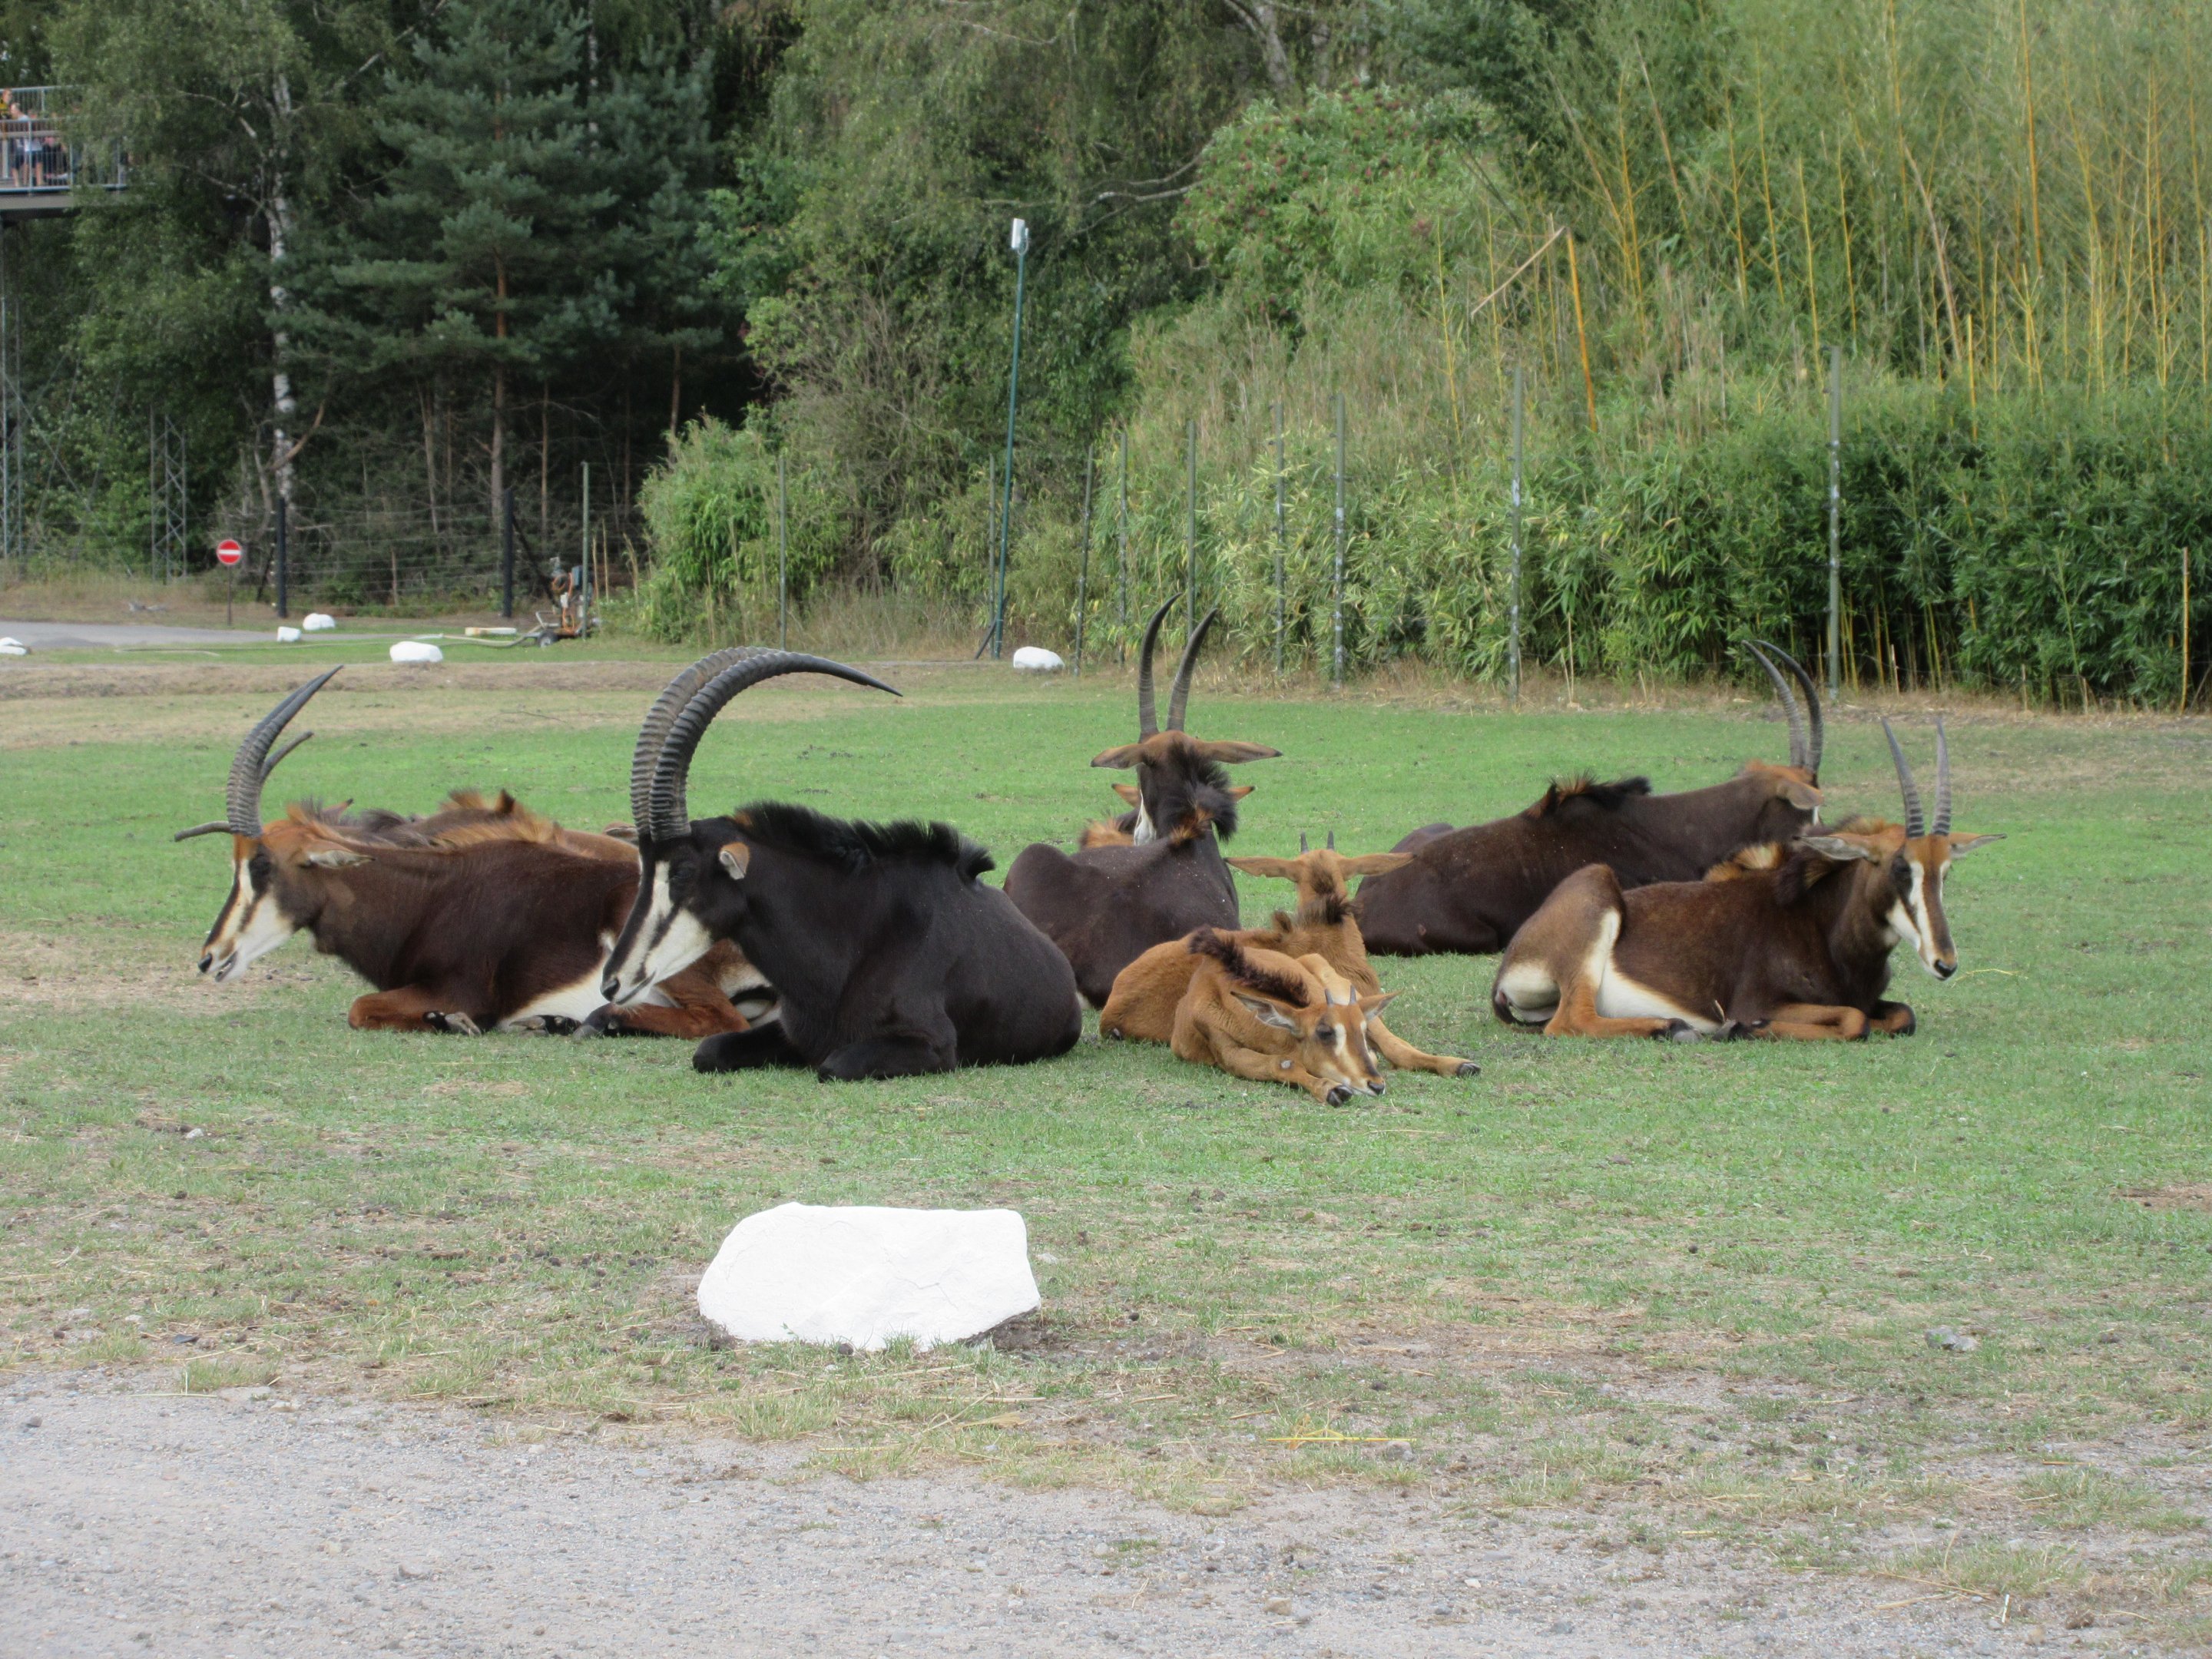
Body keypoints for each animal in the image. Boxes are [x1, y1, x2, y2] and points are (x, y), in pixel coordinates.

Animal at [178, 668, 767, 1036]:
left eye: (261, 865)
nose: (210, 958)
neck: (426, 896)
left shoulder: (460, 987)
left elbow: (360, 1007)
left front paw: (452, 1022)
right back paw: (554, 1022)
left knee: (719, 1021)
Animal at [601, 648, 1083, 1079]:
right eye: (644, 868)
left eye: (682, 871)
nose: (612, 983)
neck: (850, 943)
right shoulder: (791, 1032)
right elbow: (709, 1051)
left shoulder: (931, 1046)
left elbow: (832, 1065)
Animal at [1168, 929, 1394, 1105]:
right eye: (1325, 1032)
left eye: (1362, 1030)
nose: (1376, 1085)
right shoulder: (1228, 1052)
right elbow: (1282, 1063)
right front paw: (1331, 1089)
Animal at [1491, 719, 2000, 1041]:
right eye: (1899, 867)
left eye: (1946, 871)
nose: (1945, 963)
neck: (1825, 927)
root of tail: (1510, 963)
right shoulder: (1759, 1001)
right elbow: (1854, 1021)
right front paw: (1745, 1029)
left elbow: (1900, 1016)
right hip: (1596, 895)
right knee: (1570, 1022)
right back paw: (1671, 1027)